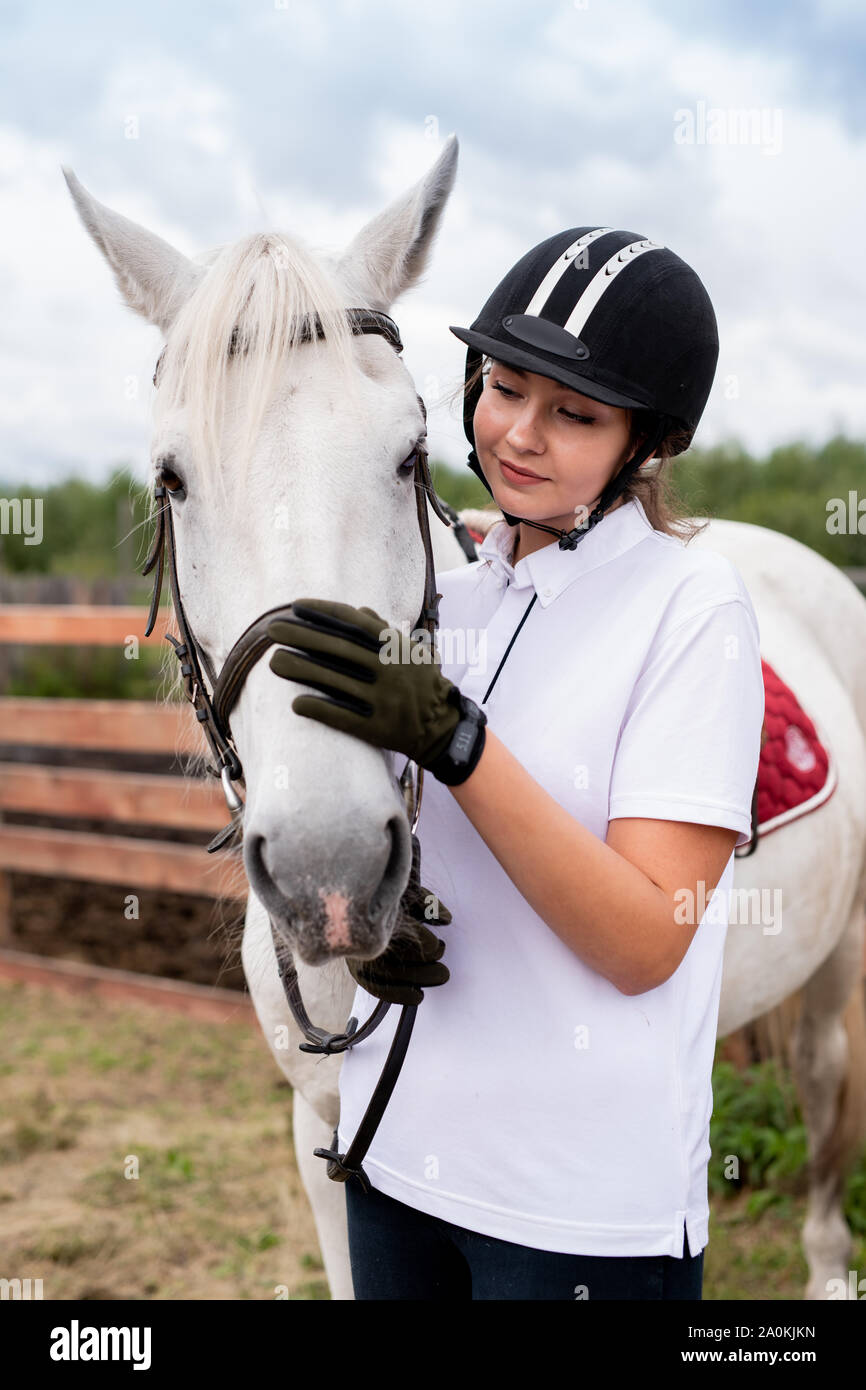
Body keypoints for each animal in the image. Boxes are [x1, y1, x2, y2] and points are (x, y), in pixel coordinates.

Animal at [64, 135, 866, 1295]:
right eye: (172, 480)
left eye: (408, 455)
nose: (331, 867)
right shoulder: (323, 1148)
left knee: (818, 1077)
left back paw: (825, 1258)